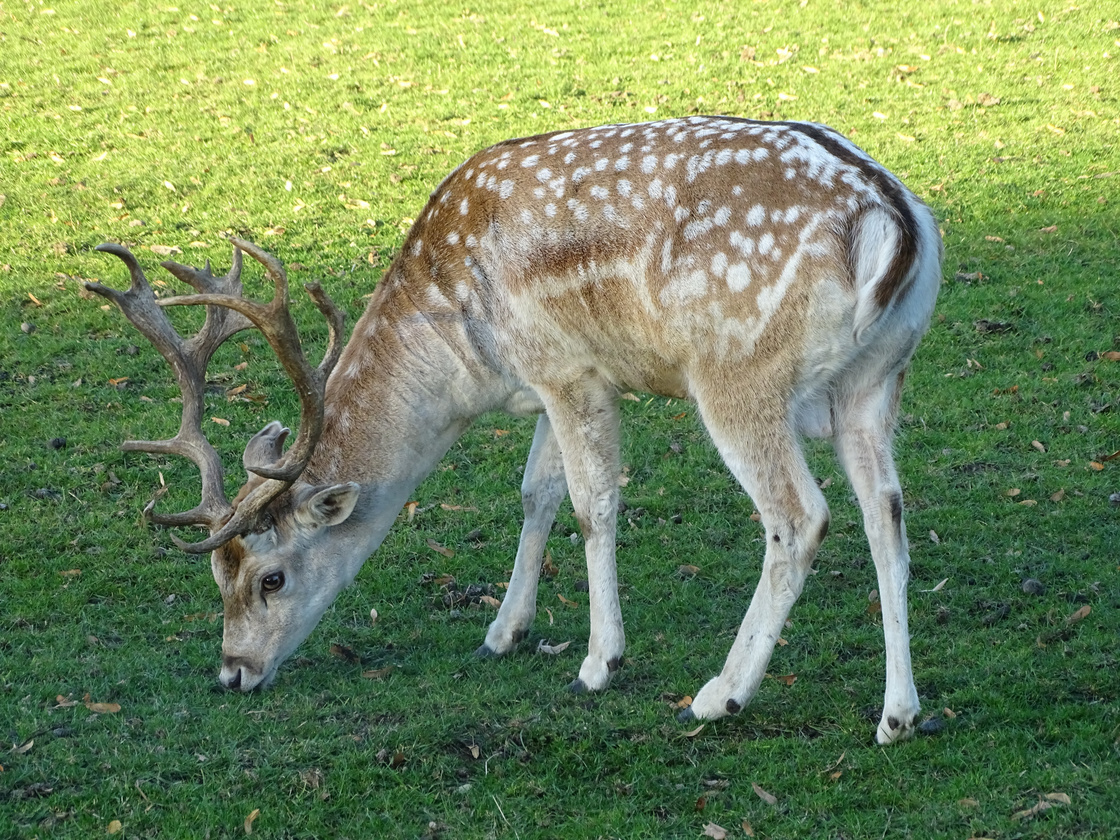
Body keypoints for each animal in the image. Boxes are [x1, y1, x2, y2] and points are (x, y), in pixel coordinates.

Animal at [94, 117, 936, 743]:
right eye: (218, 577)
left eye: (270, 578)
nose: (233, 670)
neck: (466, 360)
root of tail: (895, 222)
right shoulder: (554, 382)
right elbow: (537, 495)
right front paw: (505, 632)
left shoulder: (567, 368)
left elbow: (594, 507)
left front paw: (599, 663)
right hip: (875, 379)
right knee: (885, 510)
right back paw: (897, 715)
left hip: (739, 374)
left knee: (799, 516)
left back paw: (719, 695)